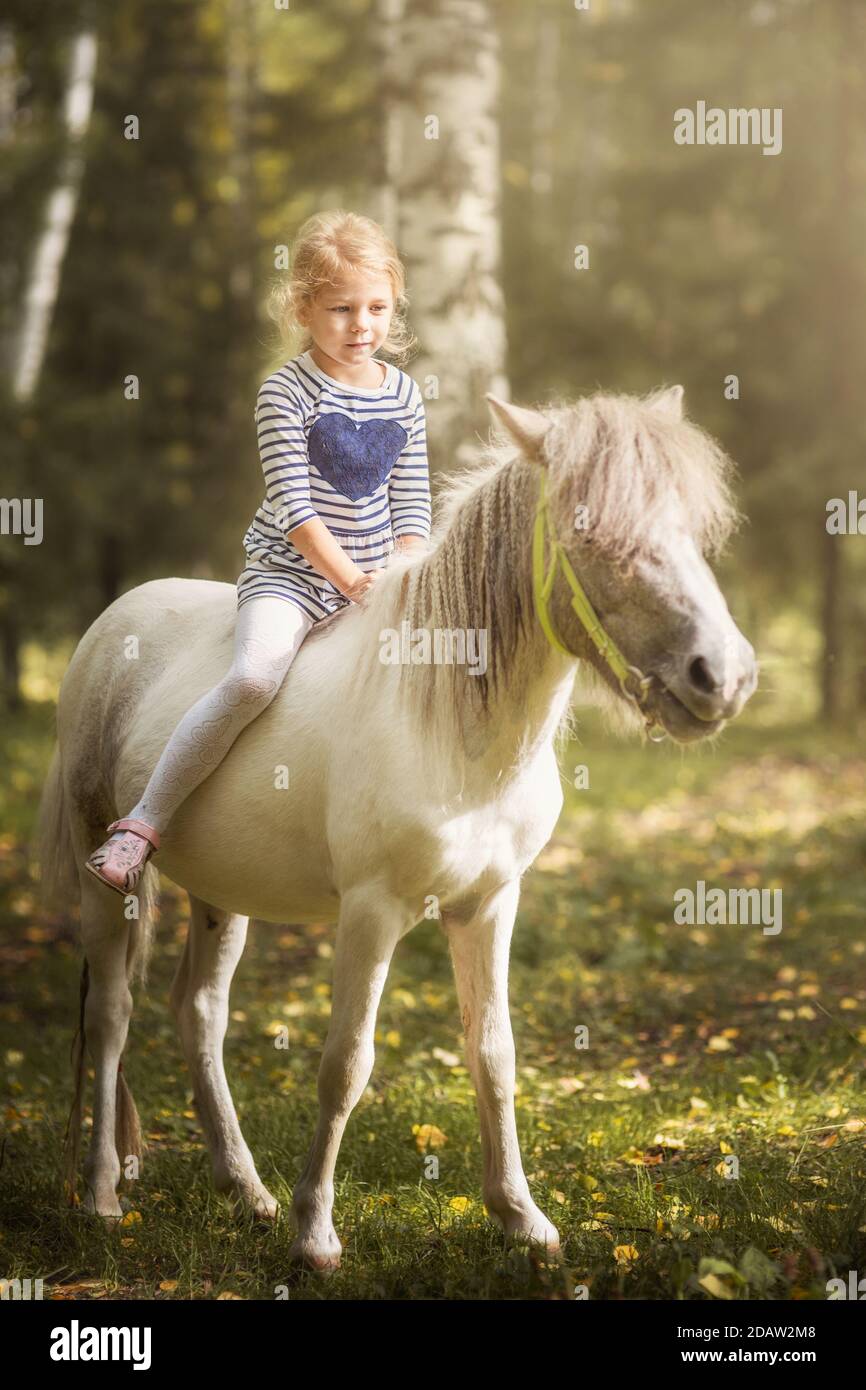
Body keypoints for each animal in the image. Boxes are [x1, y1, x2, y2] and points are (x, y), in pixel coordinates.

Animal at [38, 389, 756, 1273]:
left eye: (693, 531)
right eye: (591, 534)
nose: (722, 677)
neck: (447, 719)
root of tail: (112, 624)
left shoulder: (489, 904)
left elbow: (494, 1054)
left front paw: (523, 1220)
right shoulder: (371, 912)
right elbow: (346, 1065)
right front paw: (316, 1235)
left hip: (220, 894)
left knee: (197, 1012)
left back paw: (246, 1192)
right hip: (107, 874)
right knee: (110, 1015)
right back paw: (105, 1195)